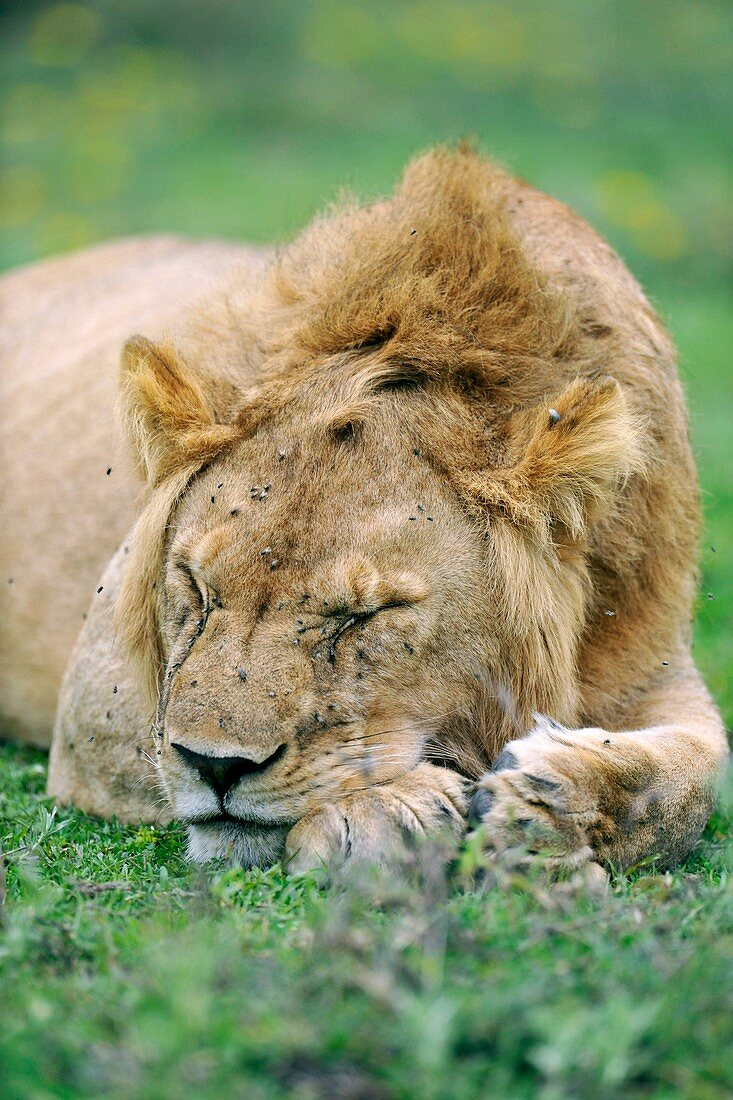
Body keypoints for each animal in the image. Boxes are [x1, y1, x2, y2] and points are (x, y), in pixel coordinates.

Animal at [1, 150, 726, 880]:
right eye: (196, 589)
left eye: (368, 615)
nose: (215, 766)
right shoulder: (100, 703)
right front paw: (388, 810)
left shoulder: (646, 654)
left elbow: (696, 776)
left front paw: (552, 804)